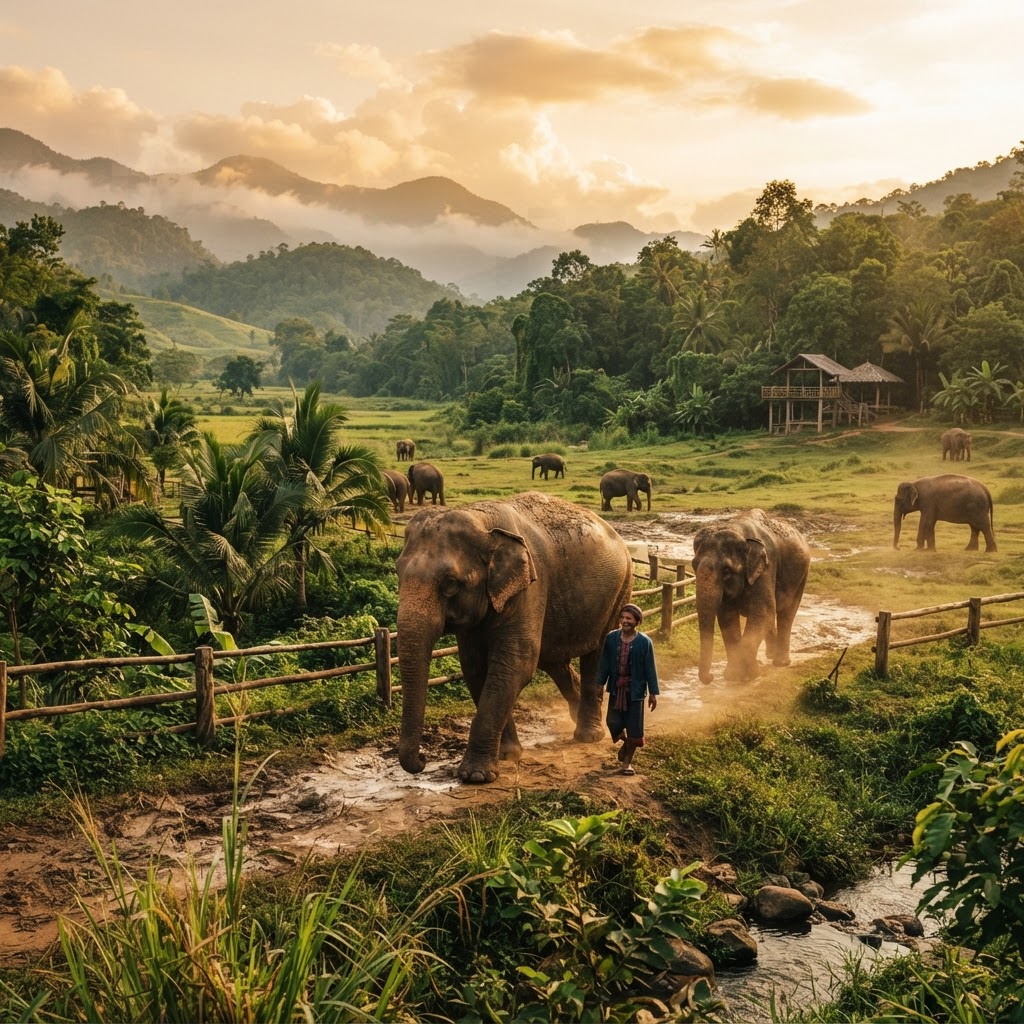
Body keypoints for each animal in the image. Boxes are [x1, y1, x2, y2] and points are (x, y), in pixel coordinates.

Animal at [395, 492, 632, 783]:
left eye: (450, 584)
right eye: (397, 572)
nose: (422, 759)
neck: (483, 522)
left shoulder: (530, 588)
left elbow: (514, 665)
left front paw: (476, 776)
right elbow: (475, 669)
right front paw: (507, 754)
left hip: (619, 591)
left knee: (596, 655)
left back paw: (589, 736)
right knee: (554, 661)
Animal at [692, 509, 810, 686]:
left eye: (726, 570)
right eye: (694, 565)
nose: (711, 677)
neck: (738, 530)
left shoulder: (766, 568)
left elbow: (763, 611)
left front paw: (748, 676)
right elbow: (727, 617)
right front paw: (732, 675)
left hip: (803, 574)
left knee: (786, 613)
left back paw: (780, 662)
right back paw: (770, 655)